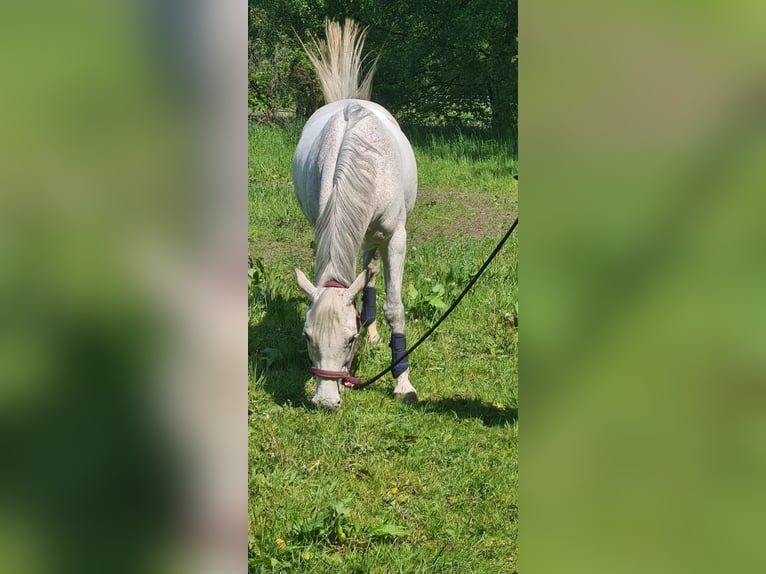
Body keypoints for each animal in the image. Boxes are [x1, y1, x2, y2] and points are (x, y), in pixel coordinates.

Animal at [292, 18, 416, 412]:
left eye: (348, 339)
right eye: (307, 337)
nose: (326, 401)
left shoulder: (396, 238)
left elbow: (395, 307)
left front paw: (403, 382)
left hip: (377, 237)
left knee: (372, 271)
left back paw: (375, 332)